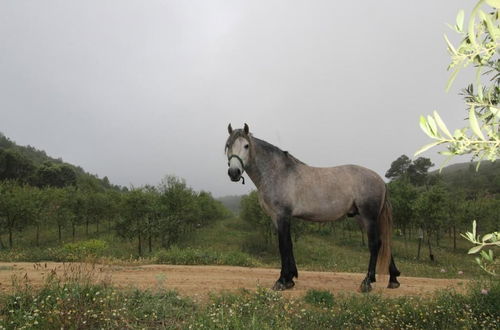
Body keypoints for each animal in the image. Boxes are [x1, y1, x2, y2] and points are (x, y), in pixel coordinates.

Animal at [225, 123, 400, 292]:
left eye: (246, 145)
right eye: (228, 145)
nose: (234, 172)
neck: (278, 172)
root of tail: (380, 180)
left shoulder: (282, 216)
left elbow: (283, 245)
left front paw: (282, 281)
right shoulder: (277, 218)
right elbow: (289, 244)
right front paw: (290, 279)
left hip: (368, 217)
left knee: (375, 244)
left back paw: (367, 282)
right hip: (362, 217)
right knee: (383, 242)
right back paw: (393, 279)